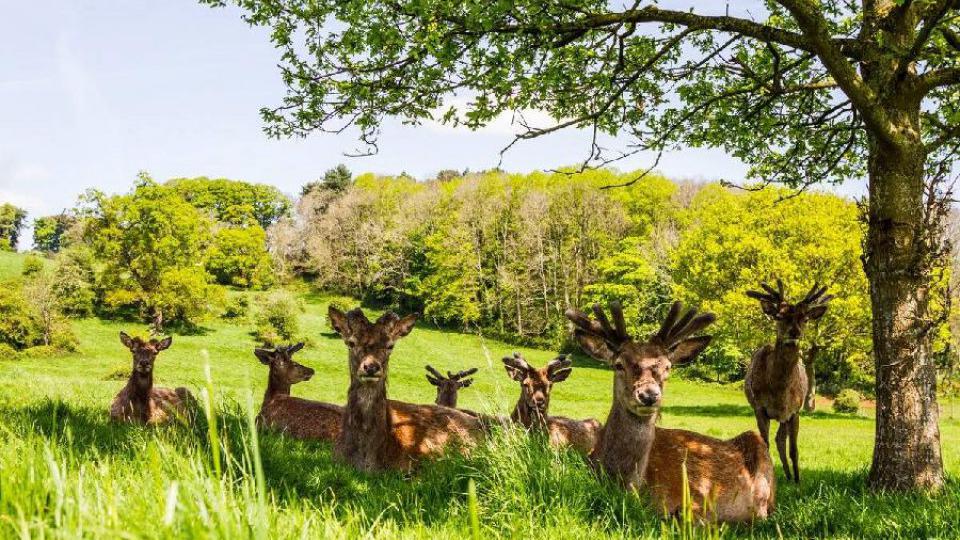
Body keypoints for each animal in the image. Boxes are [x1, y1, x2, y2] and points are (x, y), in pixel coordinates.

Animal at [744, 280, 832, 484]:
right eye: (779, 316)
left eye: (805, 318)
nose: (795, 332)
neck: (779, 393)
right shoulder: (760, 408)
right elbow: (765, 445)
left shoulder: (794, 411)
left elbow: (794, 449)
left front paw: (798, 481)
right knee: (776, 440)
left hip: (785, 417)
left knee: (781, 440)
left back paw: (790, 475)